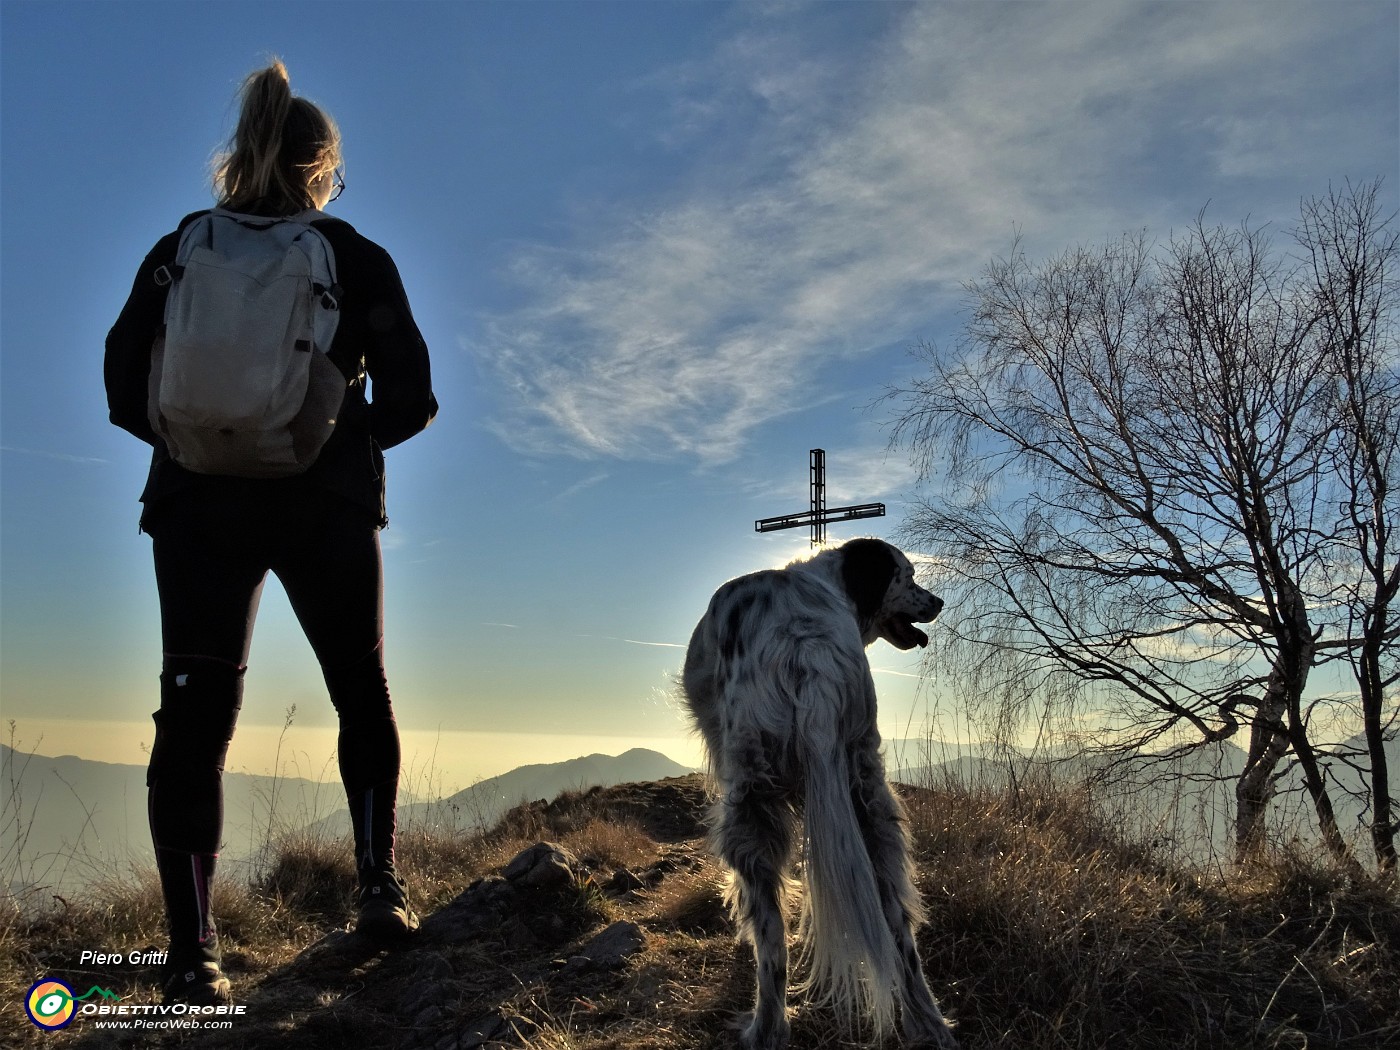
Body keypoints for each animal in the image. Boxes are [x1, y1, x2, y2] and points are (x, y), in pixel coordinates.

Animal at [680, 543, 963, 1050]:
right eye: (907, 576)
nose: (938, 602)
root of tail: (804, 645)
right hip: (871, 797)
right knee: (900, 927)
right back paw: (928, 1023)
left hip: (750, 802)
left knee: (772, 945)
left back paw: (765, 1028)